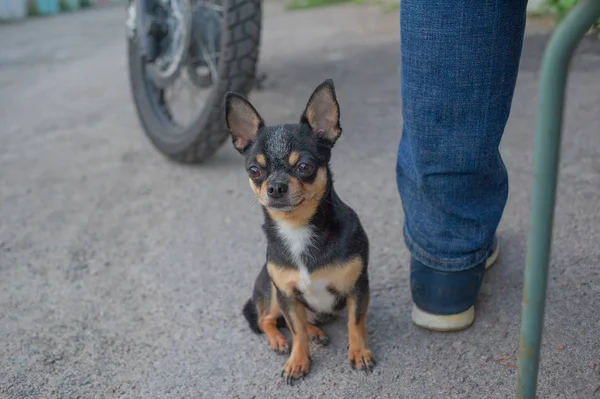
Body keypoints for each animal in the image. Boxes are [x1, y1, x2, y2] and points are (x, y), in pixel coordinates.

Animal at [225, 79, 376, 384]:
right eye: (254, 170)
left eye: (305, 166)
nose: (275, 187)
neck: (298, 229)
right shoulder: (287, 294)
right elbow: (296, 330)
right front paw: (298, 360)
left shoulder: (357, 288)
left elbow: (355, 322)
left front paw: (359, 353)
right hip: (272, 294)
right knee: (268, 320)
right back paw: (280, 340)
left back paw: (316, 332)